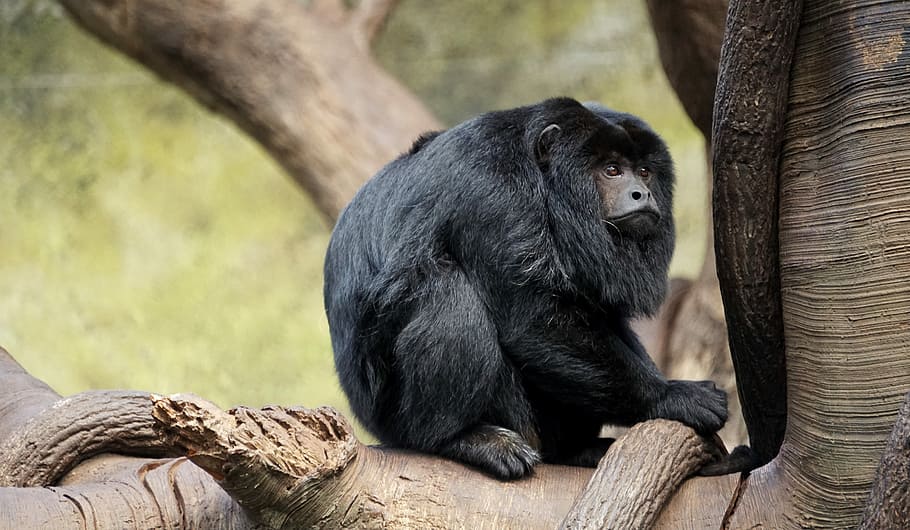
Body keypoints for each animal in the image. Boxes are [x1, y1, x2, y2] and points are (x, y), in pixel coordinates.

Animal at [323, 97, 731, 480]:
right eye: (611, 170)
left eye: (644, 171)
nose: (642, 193)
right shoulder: (490, 193)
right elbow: (532, 321)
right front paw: (669, 395)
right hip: (399, 418)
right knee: (449, 295)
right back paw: (459, 438)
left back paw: (574, 449)